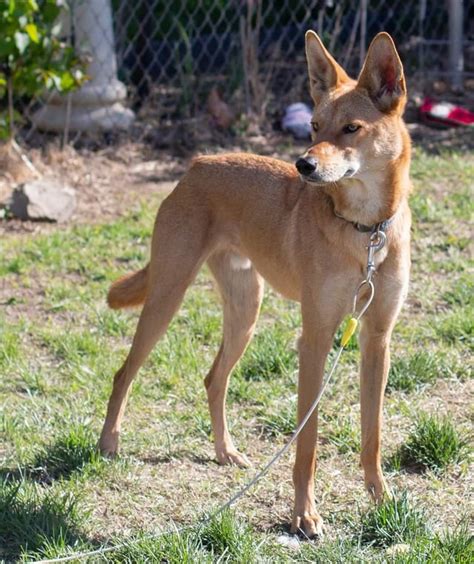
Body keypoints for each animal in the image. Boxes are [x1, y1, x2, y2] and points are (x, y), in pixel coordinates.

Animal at [100, 30, 412, 536]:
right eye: (314, 126)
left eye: (351, 129)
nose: (303, 165)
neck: (365, 232)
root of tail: (197, 164)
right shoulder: (316, 339)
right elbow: (307, 442)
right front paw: (304, 514)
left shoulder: (376, 338)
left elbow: (373, 433)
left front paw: (380, 498)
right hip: (167, 297)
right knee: (124, 372)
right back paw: (109, 442)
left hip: (245, 312)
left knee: (213, 379)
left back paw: (225, 451)